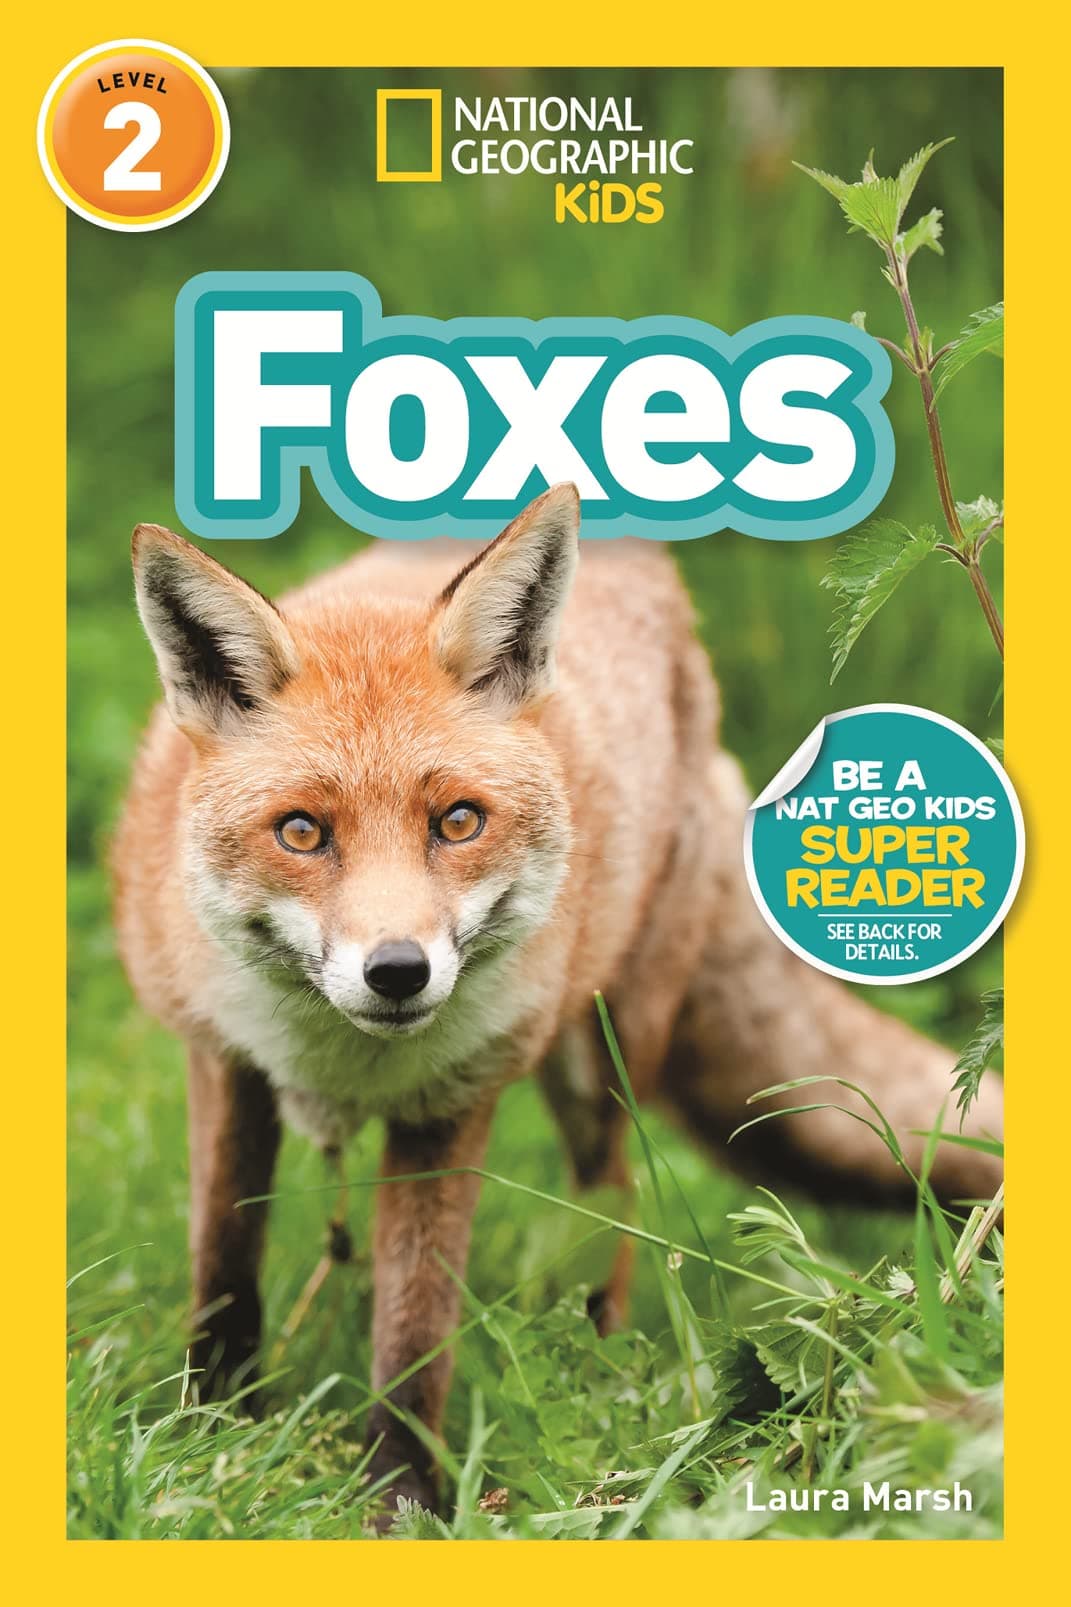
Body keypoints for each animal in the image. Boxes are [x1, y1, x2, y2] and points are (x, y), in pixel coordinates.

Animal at [115, 481, 1002, 1517]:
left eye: (458, 821)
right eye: (301, 832)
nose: (397, 971)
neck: (339, 1056)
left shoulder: (450, 1105)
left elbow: (413, 1335)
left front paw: (400, 1503)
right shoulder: (225, 1059)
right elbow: (223, 1264)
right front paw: (208, 1432)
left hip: (602, 1055)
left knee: (611, 1201)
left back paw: (601, 1371)